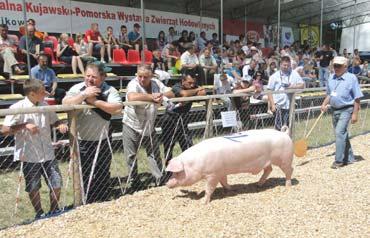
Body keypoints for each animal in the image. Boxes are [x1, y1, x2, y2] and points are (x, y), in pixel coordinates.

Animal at [166, 127, 294, 204]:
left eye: (178, 173)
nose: (167, 184)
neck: (195, 163)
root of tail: (284, 133)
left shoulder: (213, 174)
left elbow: (209, 188)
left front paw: (203, 202)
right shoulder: (221, 172)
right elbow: (224, 182)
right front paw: (232, 189)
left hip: (284, 159)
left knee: (290, 170)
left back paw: (288, 186)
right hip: (267, 162)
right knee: (269, 170)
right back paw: (258, 185)